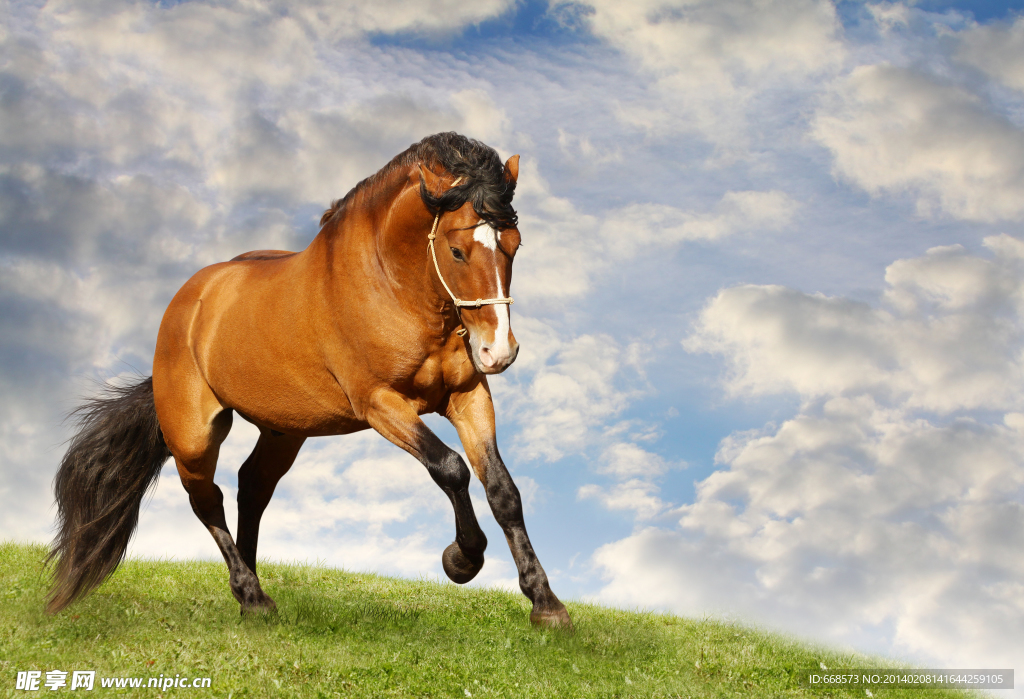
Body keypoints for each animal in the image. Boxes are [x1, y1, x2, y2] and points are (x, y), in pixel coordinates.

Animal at [47, 132, 572, 629]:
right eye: (458, 251)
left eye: (514, 245)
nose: (498, 352)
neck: (392, 286)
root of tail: (188, 302)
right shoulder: (380, 403)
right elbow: (450, 468)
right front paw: (461, 559)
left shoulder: (467, 396)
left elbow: (502, 490)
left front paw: (546, 605)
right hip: (194, 435)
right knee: (207, 500)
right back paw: (252, 596)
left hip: (283, 430)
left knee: (252, 488)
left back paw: (250, 593)